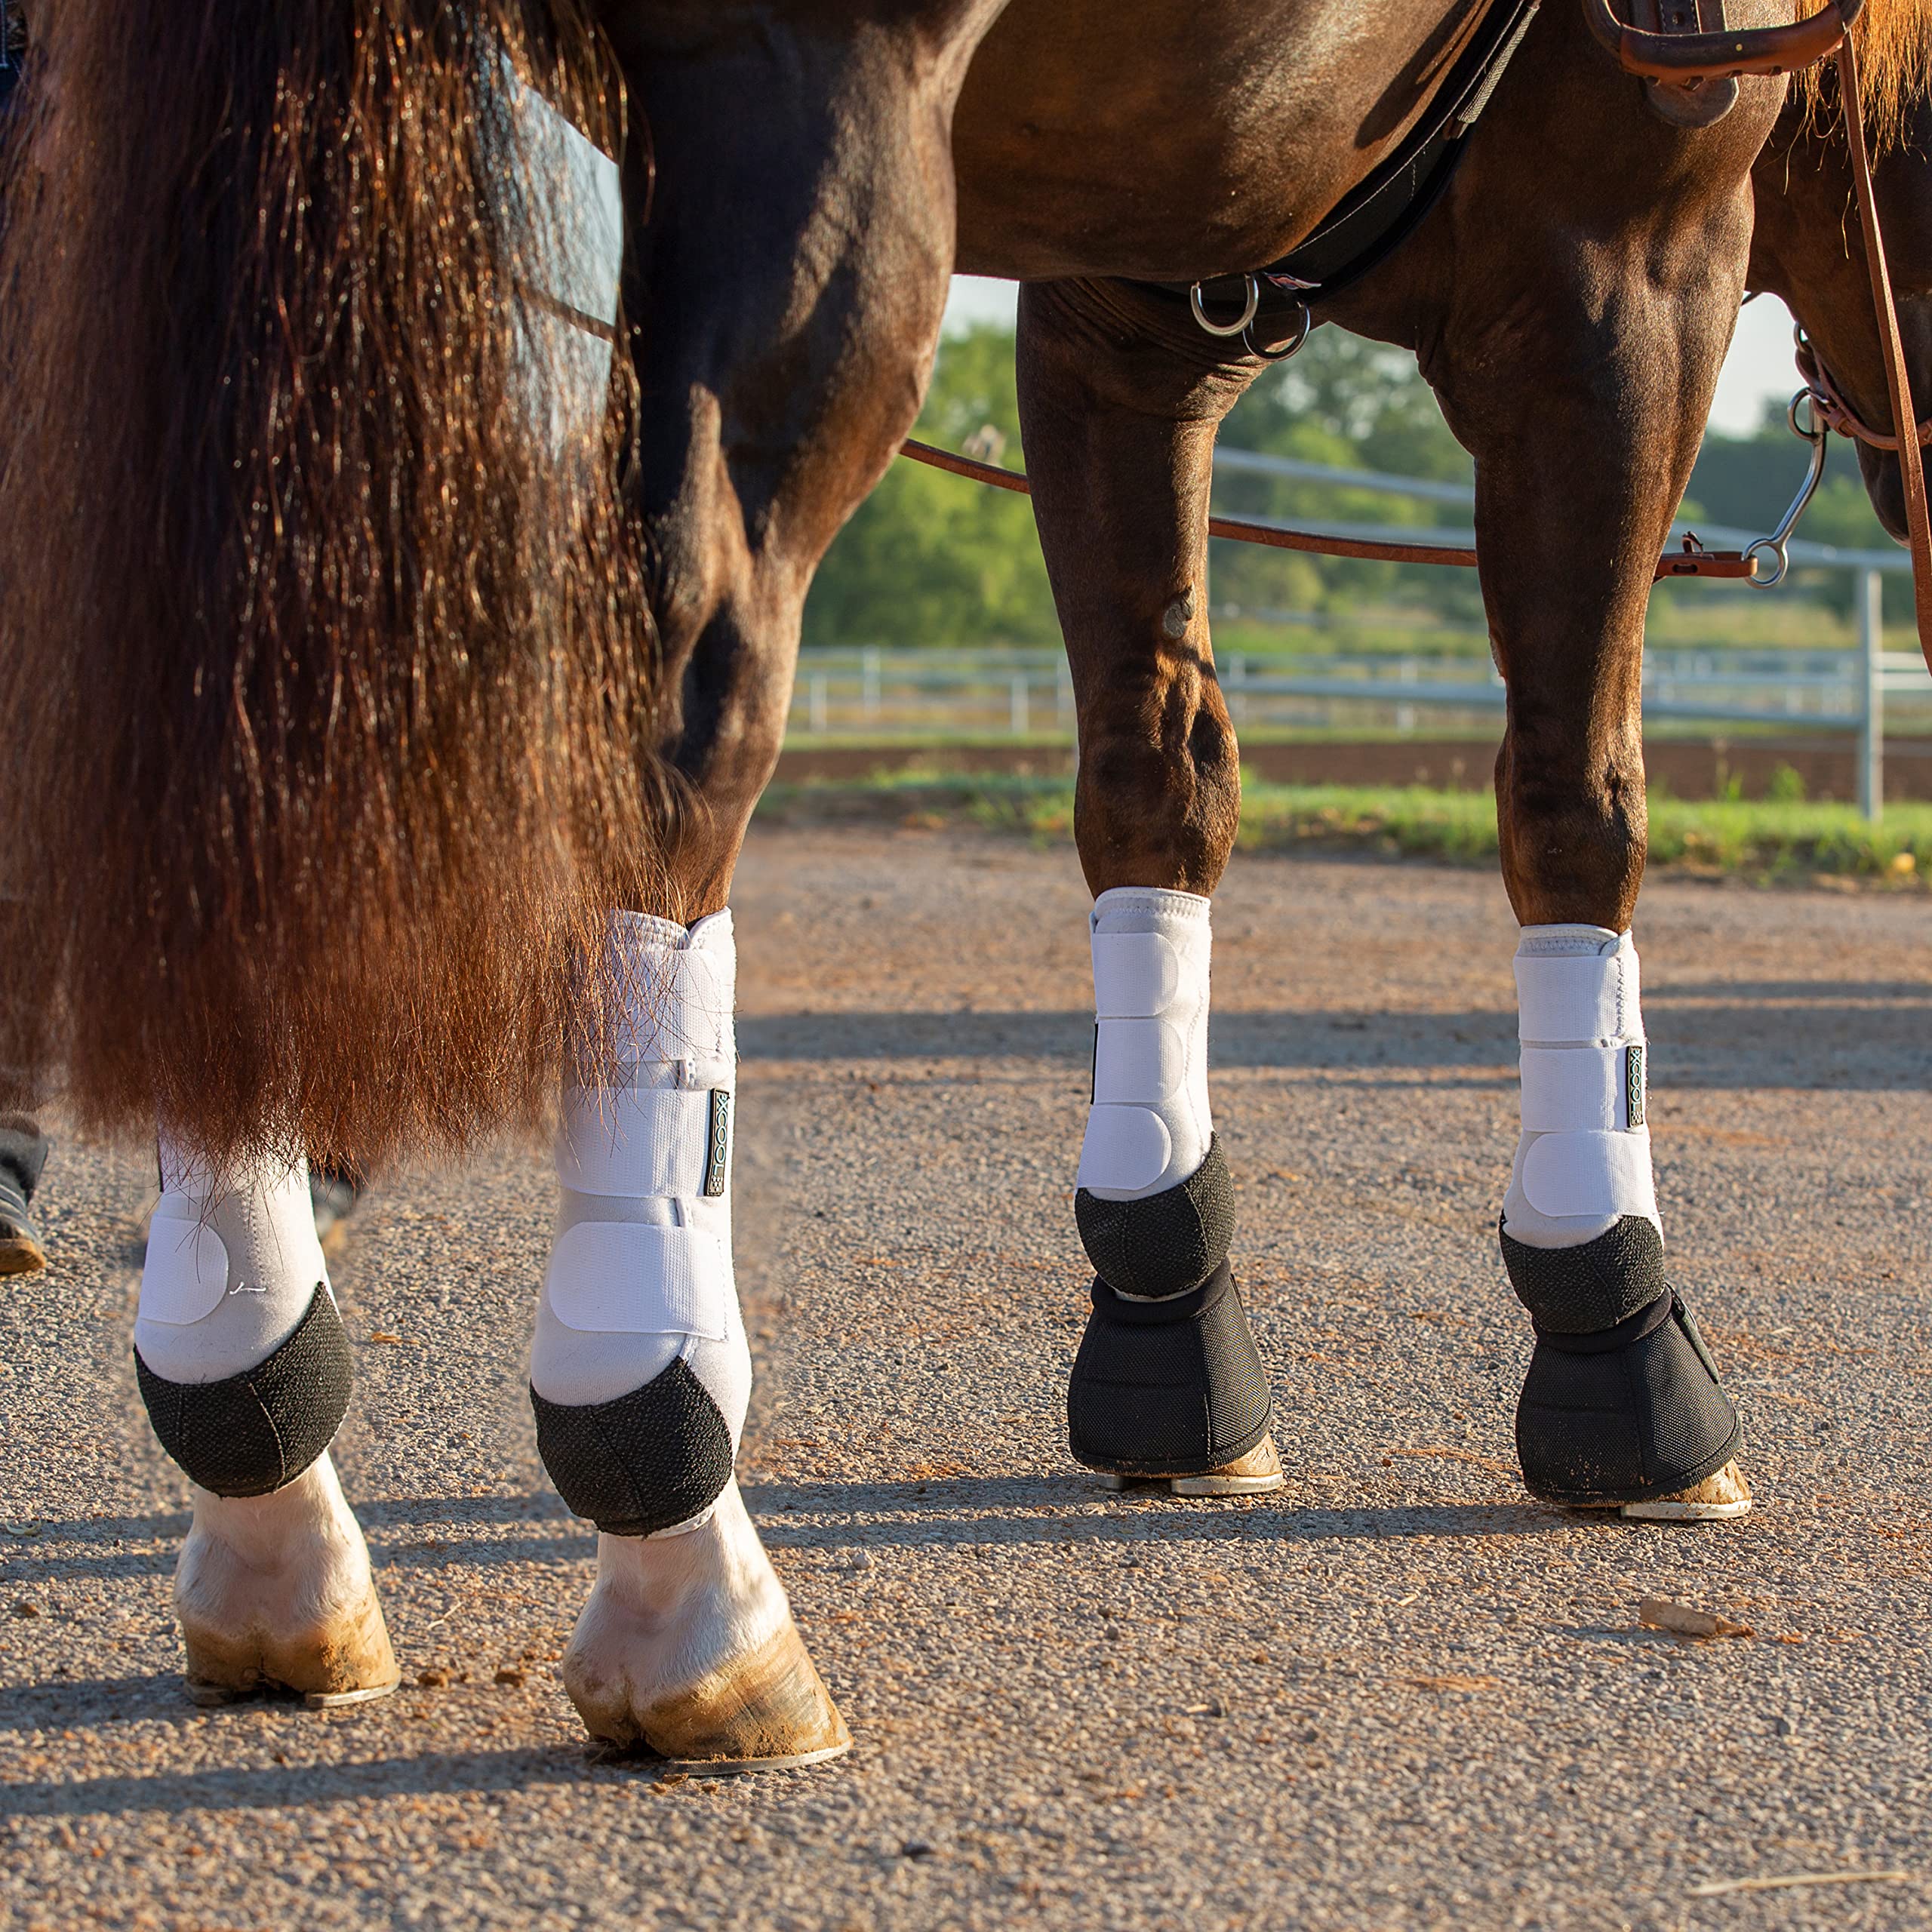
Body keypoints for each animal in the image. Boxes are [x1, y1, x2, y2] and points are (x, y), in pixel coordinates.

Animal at [1, 0, 1926, 1773]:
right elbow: (1572, 805)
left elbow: (1156, 780)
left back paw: (258, 1463)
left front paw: (1164, 1325)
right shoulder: (1620, 267)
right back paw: (678, 1541)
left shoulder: (1121, 301)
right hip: (810, 138)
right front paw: (1615, 1333)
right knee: (670, 691)